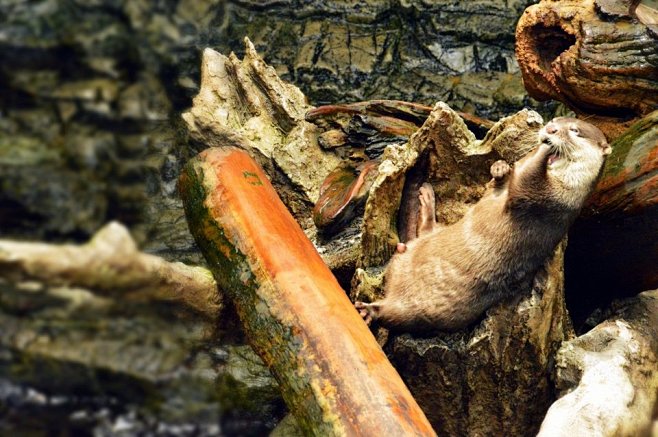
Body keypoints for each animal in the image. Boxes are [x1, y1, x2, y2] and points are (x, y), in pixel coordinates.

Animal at [356, 116, 608, 330]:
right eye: (556, 119)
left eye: (575, 131)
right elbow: (499, 181)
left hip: (414, 311)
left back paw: (368, 311)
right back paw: (425, 195)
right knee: (426, 230)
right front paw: (501, 168)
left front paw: (543, 148)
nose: (550, 129)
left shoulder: (544, 200)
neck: (564, 188)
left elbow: (528, 178)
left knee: (392, 313)